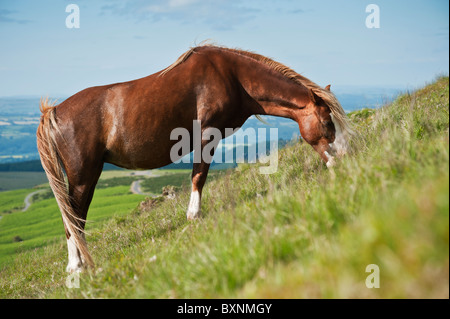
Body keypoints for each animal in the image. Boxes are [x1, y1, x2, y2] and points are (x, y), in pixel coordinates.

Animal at [37, 44, 352, 272]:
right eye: (327, 122)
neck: (233, 76)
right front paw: (194, 215)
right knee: (73, 216)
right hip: (83, 176)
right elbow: (198, 174)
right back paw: (76, 266)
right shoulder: (207, 134)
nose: (345, 159)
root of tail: (54, 113)